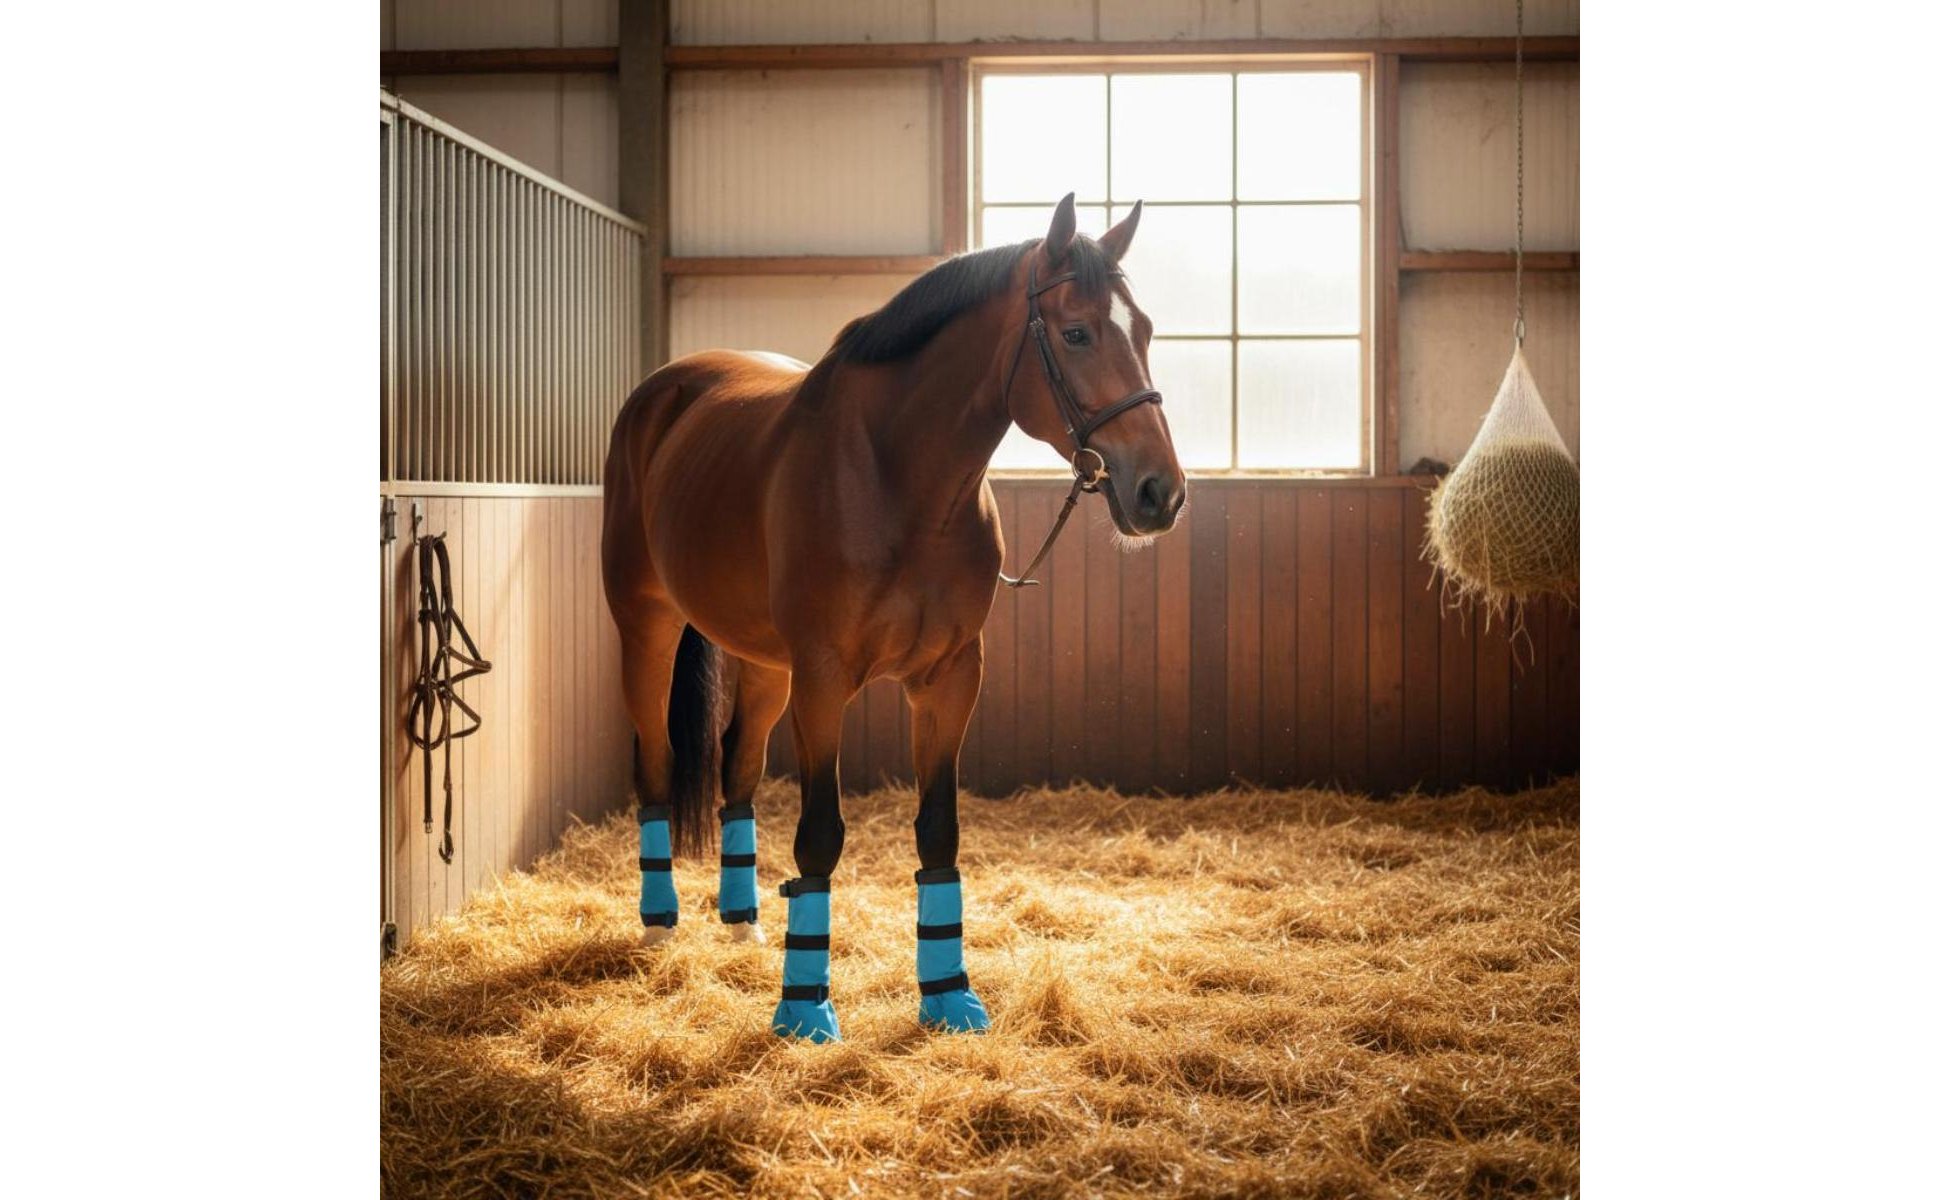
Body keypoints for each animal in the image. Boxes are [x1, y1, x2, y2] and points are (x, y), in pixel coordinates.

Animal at [600, 194, 1187, 1042]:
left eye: (1142, 330)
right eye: (1077, 332)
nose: (1160, 493)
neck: (896, 476)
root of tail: (663, 392)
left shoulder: (949, 677)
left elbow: (938, 829)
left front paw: (949, 995)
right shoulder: (822, 680)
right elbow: (819, 837)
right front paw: (804, 1008)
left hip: (765, 666)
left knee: (738, 768)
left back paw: (742, 922)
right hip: (646, 627)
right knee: (652, 762)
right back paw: (658, 923)